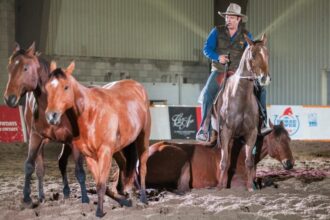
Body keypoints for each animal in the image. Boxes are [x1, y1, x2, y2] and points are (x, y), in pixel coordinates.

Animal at [2, 43, 89, 205]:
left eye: (25, 68)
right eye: (9, 67)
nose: (9, 98)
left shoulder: (73, 140)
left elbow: (79, 170)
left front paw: (85, 198)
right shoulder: (36, 137)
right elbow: (30, 165)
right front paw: (27, 197)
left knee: (64, 162)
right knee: (45, 166)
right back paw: (45, 195)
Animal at [44, 61, 151, 217]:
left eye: (66, 86)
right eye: (47, 87)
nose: (51, 116)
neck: (91, 114)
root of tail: (137, 86)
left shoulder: (105, 152)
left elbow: (101, 184)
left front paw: (99, 212)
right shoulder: (89, 156)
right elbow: (100, 184)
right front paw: (124, 201)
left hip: (143, 138)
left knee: (142, 166)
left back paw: (143, 198)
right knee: (125, 164)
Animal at [214, 34, 270, 191]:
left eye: (267, 54)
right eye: (253, 54)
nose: (264, 78)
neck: (241, 97)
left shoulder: (251, 134)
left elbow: (249, 161)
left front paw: (250, 187)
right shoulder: (226, 132)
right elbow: (224, 161)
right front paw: (220, 187)